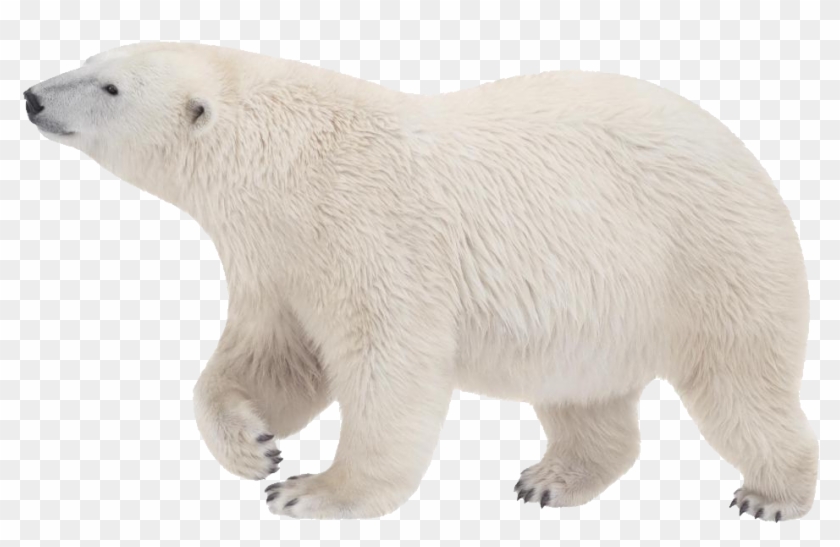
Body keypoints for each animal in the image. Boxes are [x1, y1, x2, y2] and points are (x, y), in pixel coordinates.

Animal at [25, 41, 818, 520]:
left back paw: (772, 493)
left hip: (706, 257)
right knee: (582, 395)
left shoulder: (366, 232)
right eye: (94, 56)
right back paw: (550, 478)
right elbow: (275, 357)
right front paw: (254, 444)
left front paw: (312, 490)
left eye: (109, 86)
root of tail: (751, 159)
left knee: (740, 384)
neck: (285, 161)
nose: (32, 95)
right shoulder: (276, 258)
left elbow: (389, 364)